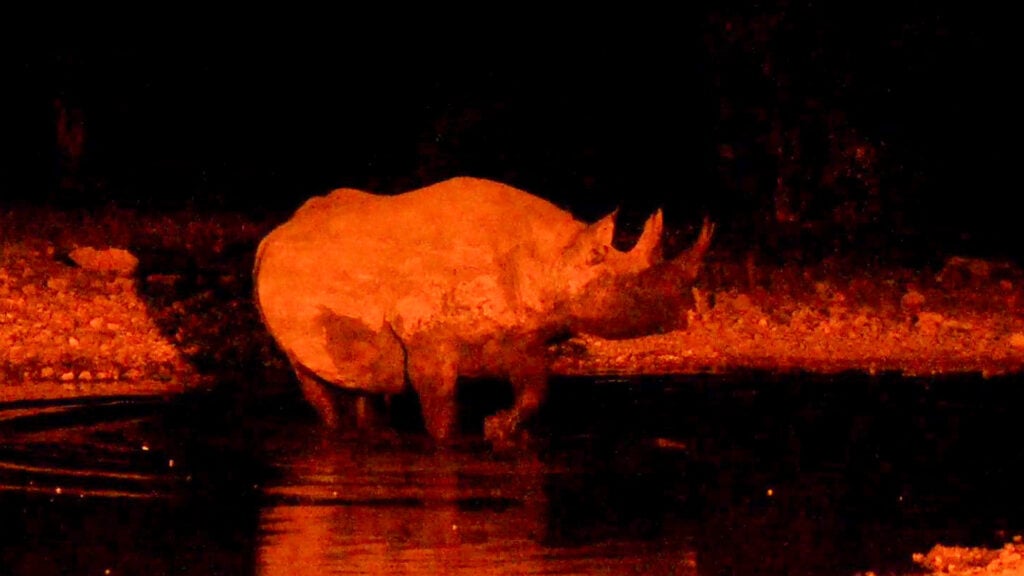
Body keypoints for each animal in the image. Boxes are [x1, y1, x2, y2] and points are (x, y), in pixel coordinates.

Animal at [254, 177, 712, 443]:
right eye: (636, 290)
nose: (690, 313)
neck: (555, 257)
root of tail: (273, 235)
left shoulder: (525, 332)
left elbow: (535, 391)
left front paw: (498, 429)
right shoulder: (427, 340)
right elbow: (440, 408)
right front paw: (451, 442)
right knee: (309, 377)